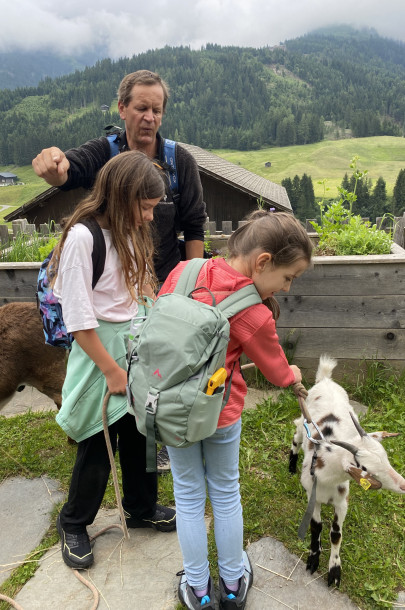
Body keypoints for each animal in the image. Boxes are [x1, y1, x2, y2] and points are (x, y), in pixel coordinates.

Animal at [288, 354, 404, 588]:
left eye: (386, 457)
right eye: (365, 468)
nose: (403, 485)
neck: (326, 476)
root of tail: (325, 380)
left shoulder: (342, 502)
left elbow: (336, 533)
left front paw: (334, 570)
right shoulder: (312, 496)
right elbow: (316, 527)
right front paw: (313, 559)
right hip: (302, 422)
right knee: (296, 438)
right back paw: (291, 464)